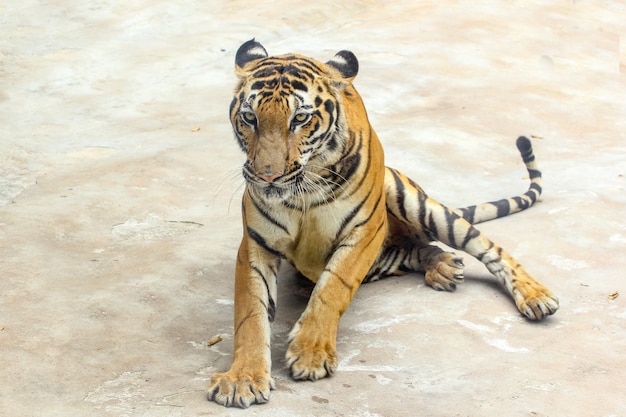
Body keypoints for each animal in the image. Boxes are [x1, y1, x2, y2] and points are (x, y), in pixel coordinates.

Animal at [207, 39, 560, 406]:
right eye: (249, 118)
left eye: (300, 118)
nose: (268, 176)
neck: (304, 189)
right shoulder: (256, 245)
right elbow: (251, 315)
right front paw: (243, 378)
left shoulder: (364, 230)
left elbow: (331, 289)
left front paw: (310, 353)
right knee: (417, 248)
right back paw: (444, 267)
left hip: (414, 202)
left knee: (486, 246)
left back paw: (535, 295)